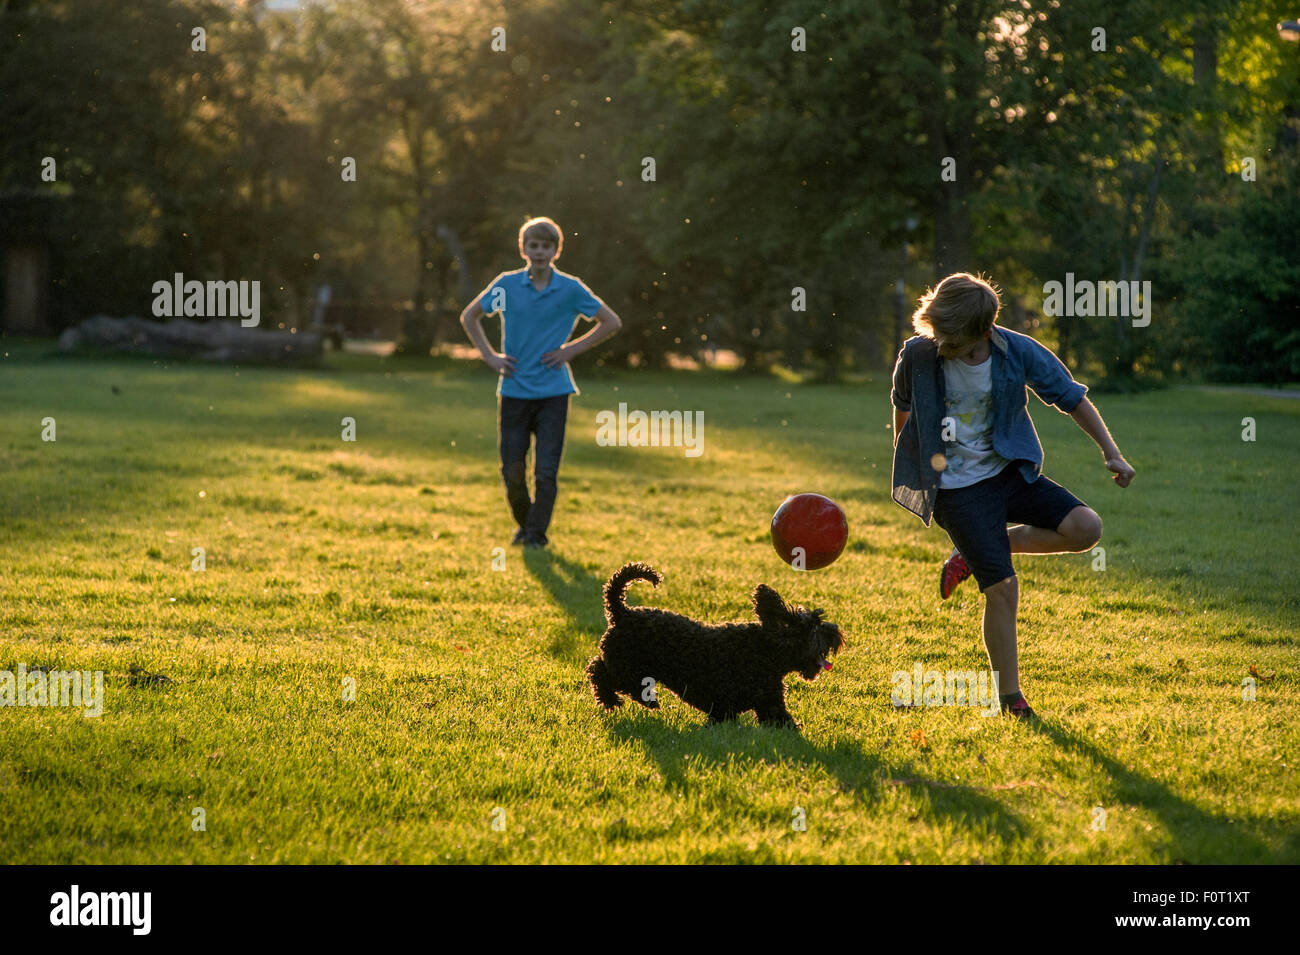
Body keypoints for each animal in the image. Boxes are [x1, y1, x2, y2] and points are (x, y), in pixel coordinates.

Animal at [587, 563, 842, 727]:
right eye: (814, 626)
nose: (837, 631)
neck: (766, 649)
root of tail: (622, 612)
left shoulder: (738, 708)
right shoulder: (769, 703)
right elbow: (785, 723)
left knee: (599, 668)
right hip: (627, 667)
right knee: (600, 673)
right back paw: (634, 700)